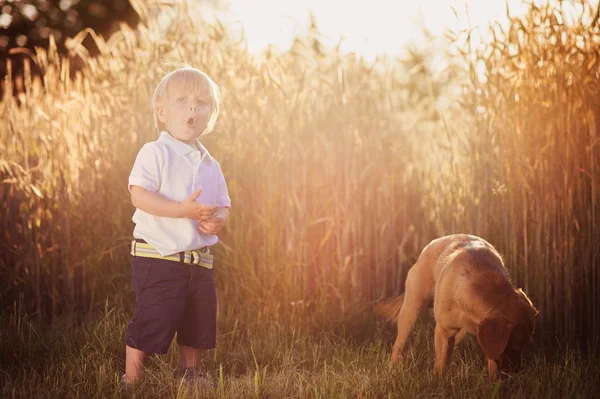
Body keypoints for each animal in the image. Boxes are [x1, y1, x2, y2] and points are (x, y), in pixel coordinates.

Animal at [376, 234, 540, 382]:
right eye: (514, 348)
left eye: (523, 347)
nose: (517, 373)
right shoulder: (444, 331)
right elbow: (441, 365)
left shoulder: (488, 341)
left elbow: (492, 363)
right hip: (411, 311)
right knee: (398, 345)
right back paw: (393, 368)